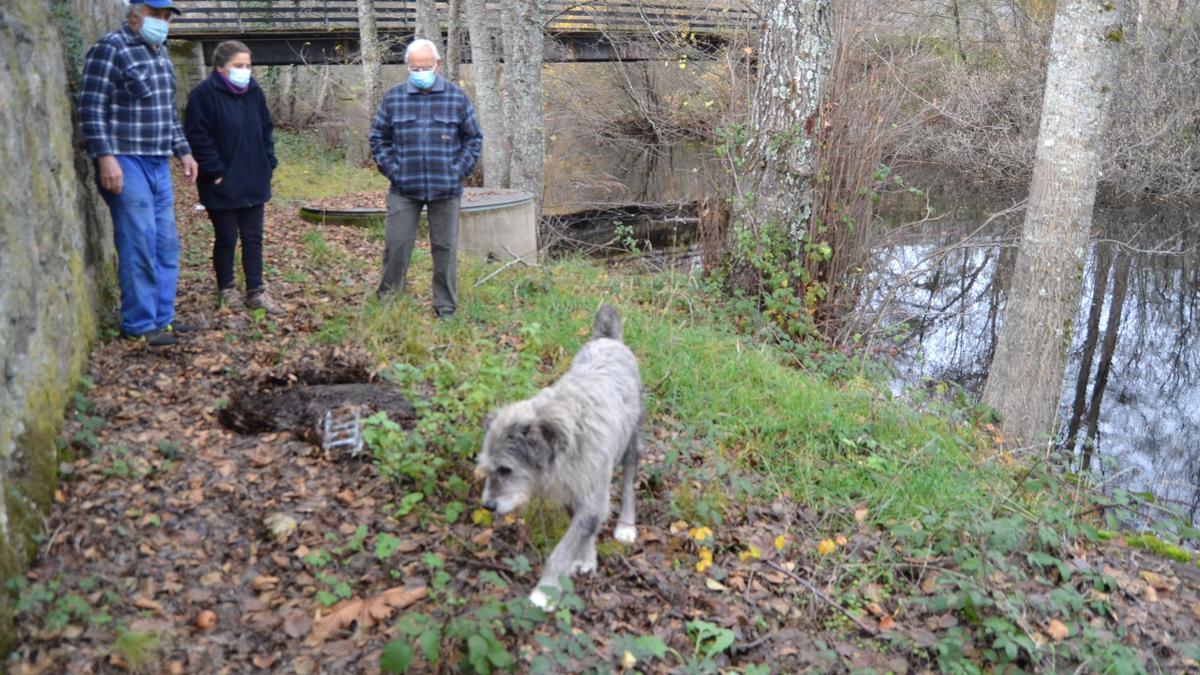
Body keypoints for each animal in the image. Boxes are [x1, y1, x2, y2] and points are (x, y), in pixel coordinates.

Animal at [477, 302, 648, 607]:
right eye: (486, 468)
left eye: (506, 469)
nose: (488, 506)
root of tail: (608, 340)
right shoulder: (574, 494)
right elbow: (584, 532)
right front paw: (587, 559)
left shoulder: (591, 496)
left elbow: (562, 550)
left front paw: (544, 591)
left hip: (632, 442)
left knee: (629, 482)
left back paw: (626, 525)